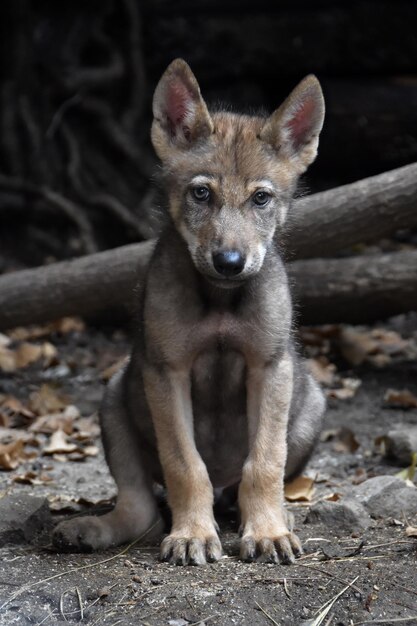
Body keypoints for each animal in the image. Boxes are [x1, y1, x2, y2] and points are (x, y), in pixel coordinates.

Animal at [52, 59, 324, 564]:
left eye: (261, 198)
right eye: (201, 194)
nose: (229, 262)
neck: (219, 299)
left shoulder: (269, 367)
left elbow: (264, 464)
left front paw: (268, 531)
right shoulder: (166, 371)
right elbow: (184, 464)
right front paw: (193, 534)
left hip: (311, 403)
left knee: (247, 487)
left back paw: (280, 516)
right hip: (114, 400)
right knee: (141, 511)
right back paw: (91, 529)